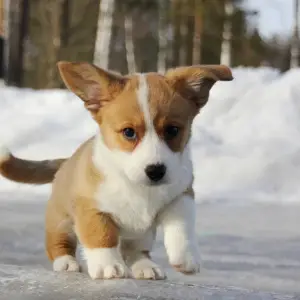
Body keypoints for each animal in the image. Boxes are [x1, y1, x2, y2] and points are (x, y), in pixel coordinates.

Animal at [0, 62, 233, 280]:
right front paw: (108, 266)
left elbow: (181, 225)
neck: (137, 185)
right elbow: (102, 235)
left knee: (137, 251)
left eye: (172, 130)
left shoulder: (182, 194)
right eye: (129, 132)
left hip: (142, 234)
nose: (156, 171)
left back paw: (145, 266)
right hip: (60, 220)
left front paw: (185, 258)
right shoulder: (91, 208)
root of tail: (66, 161)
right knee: (58, 242)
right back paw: (65, 262)